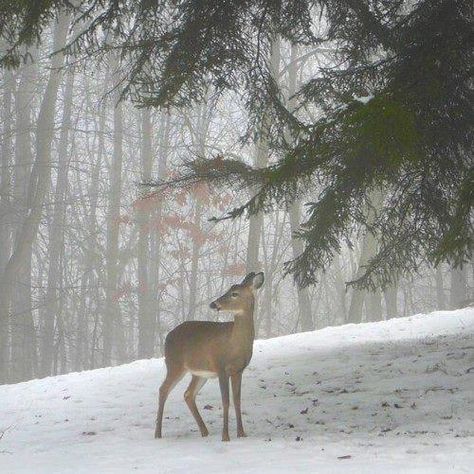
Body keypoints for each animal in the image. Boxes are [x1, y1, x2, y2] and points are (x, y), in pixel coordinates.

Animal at [156, 272, 264, 442]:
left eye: (234, 293)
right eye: (228, 290)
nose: (214, 304)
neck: (234, 344)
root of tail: (168, 335)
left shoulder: (238, 370)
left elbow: (237, 401)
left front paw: (241, 434)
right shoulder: (221, 367)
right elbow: (225, 401)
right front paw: (225, 436)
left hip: (199, 373)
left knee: (188, 394)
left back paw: (204, 431)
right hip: (174, 364)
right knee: (163, 390)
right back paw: (158, 434)